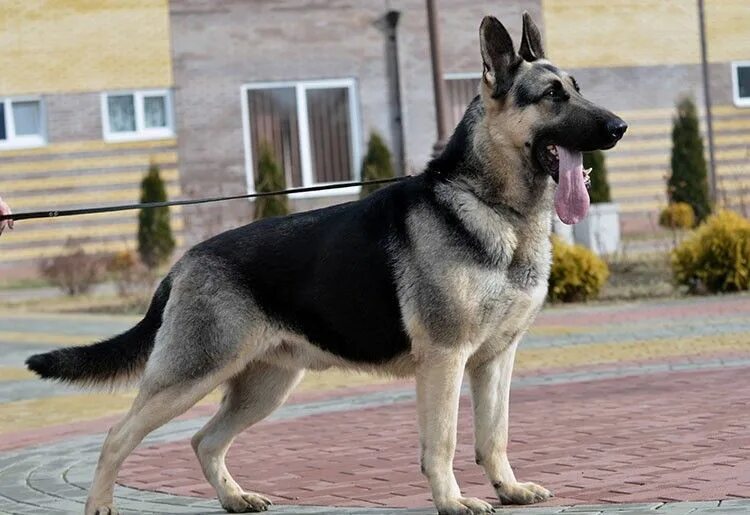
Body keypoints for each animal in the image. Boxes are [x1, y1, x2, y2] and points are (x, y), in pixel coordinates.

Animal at [26, 14, 628, 515]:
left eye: (578, 88)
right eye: (552, 96)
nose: (620, 126)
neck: (489, 204)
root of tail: (184, 262)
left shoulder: (495, 360)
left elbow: (494, 435)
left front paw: (508, 488)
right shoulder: (445, 360)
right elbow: (443, 441)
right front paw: (453, 501)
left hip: (265, 386)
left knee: (204, 440)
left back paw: (235, 498)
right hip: (191, 376)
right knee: (117, 436)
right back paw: (102, 505)